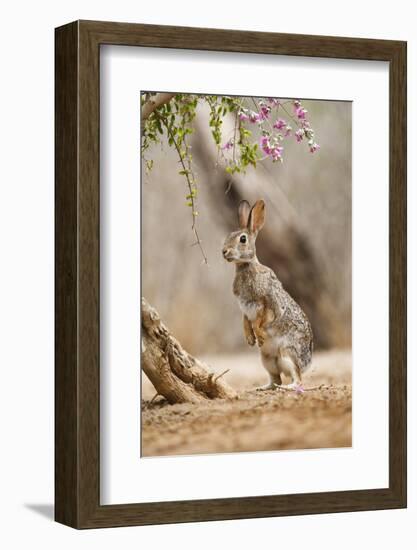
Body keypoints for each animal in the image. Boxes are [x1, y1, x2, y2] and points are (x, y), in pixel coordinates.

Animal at [221, 201, 312, 390]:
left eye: (242, 239)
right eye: (228, 236)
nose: (224, 251)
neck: (246, 266)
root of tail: (308, 362)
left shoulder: (266, 303)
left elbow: (260, 320)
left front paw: (259, 335)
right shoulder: (244, 308)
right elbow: (245, 321)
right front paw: (250, 339)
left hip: (287, 353)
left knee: (297, 379)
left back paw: (286, 387)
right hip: (267, 360)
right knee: (275, 379)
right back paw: (261, 388)